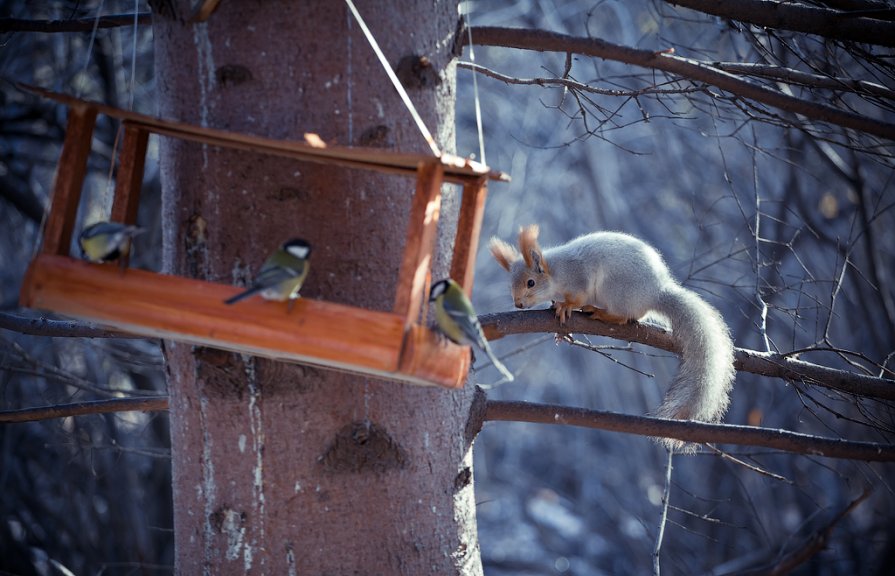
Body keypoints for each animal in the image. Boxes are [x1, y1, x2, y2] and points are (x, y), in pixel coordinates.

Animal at [490, 225, 736, 450]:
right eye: (511, 284)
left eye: (530, 283)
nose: (518, 304)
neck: (557, 272)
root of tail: (655, 294)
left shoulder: (578, 278)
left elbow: (577, 297)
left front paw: (565, 306)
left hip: (614, 288)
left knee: (624, 315)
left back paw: (601, 313)